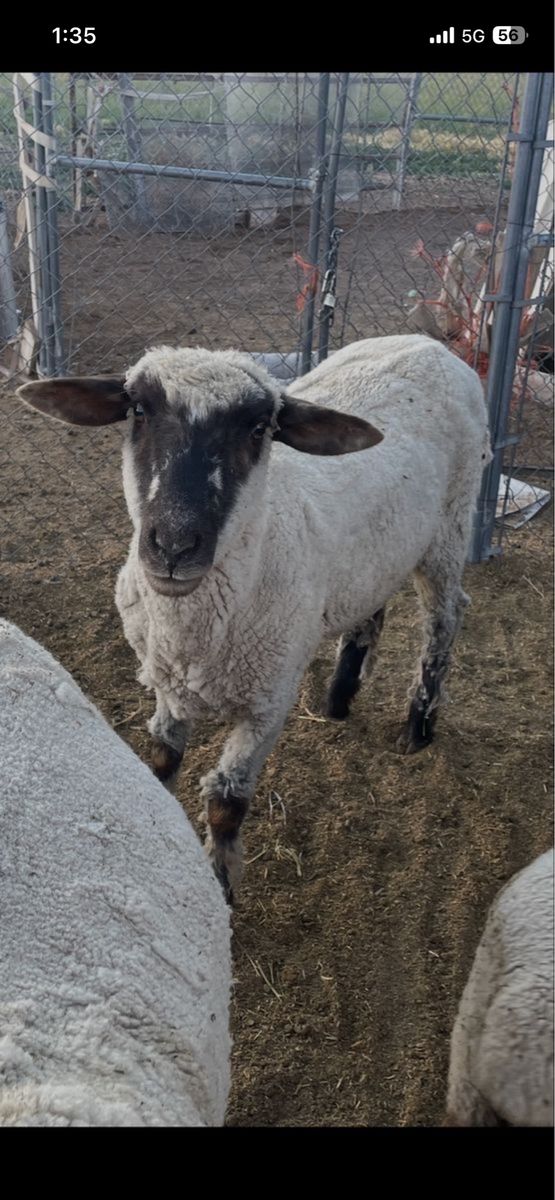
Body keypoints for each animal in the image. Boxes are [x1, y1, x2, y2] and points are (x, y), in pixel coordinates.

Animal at [18, 333, 491, 903]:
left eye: (260, 428)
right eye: (138, 411)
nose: (174, 545)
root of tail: (425, 341)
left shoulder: (268, 703)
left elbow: (227, 802)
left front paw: (222, 886)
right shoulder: (167, 681)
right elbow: (161, 762)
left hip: (450, 527)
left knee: (445, 618)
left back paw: (418, 726)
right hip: (379, 552)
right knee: (369, 608)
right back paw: (338, 699)